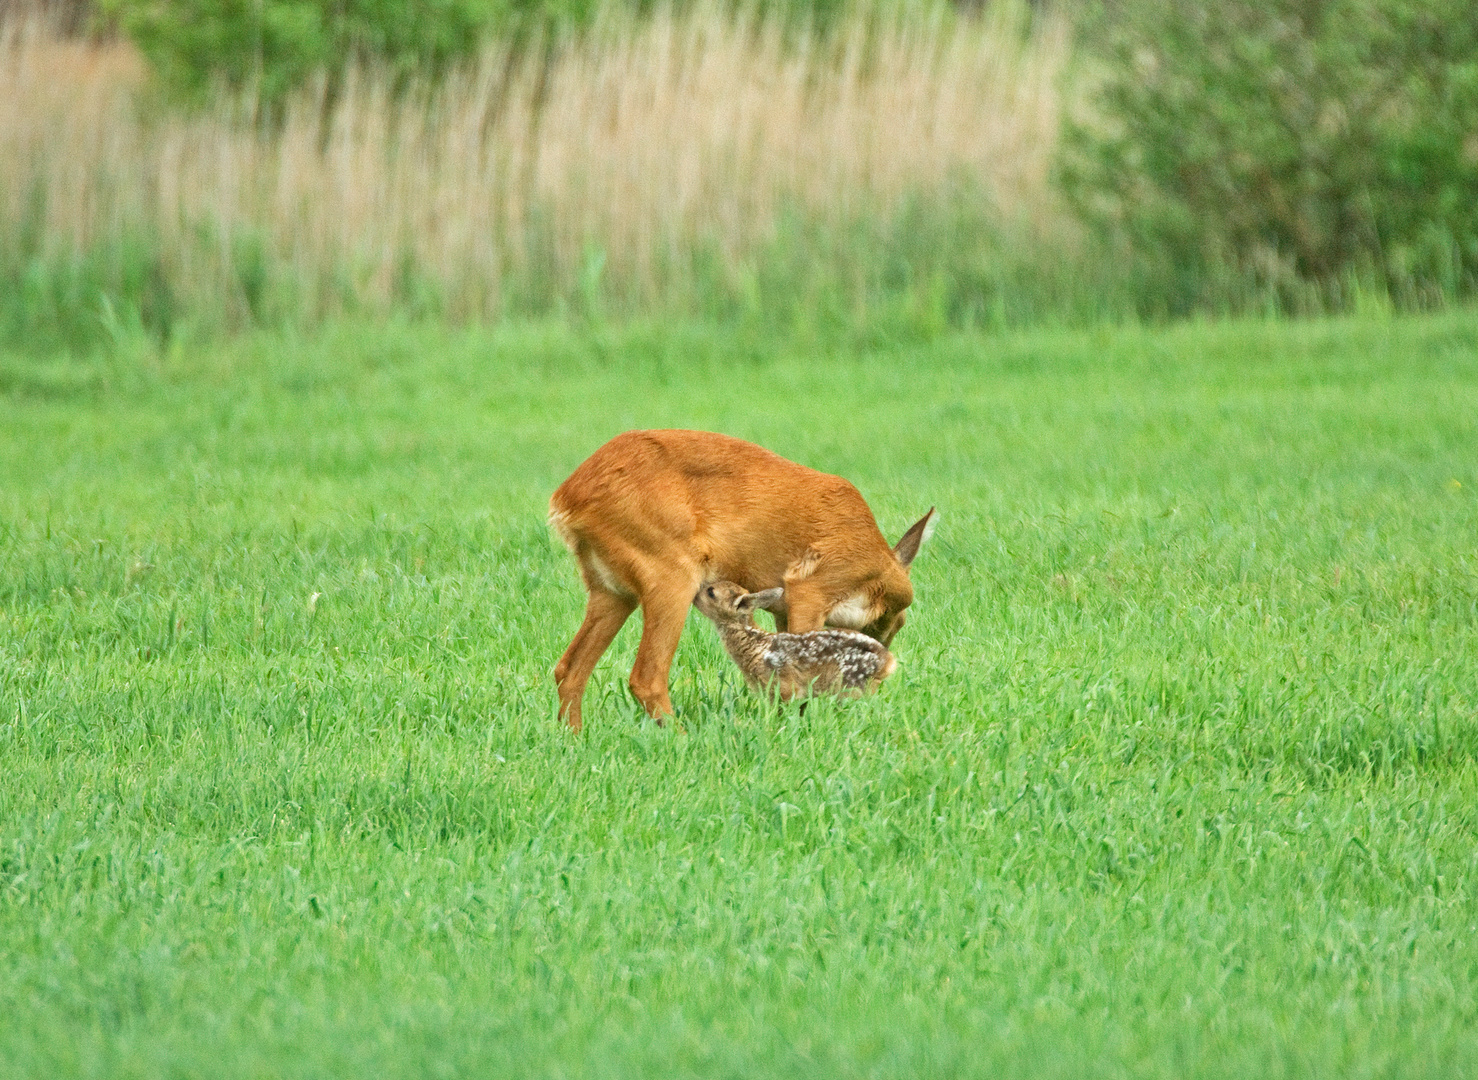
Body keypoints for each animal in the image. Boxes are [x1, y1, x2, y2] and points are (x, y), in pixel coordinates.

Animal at [543, 431, 934, 735]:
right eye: (898, 622)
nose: (883, 663)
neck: (875, 570)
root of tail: (566, 499)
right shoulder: (810, 587)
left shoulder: (781, 607)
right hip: (670, 572)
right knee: (646, 677)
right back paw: (683, 737)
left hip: (610, 589)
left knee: (568, 669)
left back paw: (573, 737)